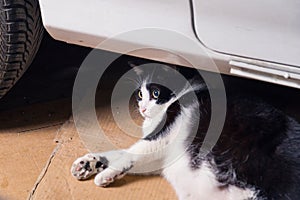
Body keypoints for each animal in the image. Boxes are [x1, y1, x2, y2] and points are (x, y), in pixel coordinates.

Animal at [71, 61, 300, 199]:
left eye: (155, 93)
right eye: (140, 94)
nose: (142, 109)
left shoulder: (160, 138)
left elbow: (131, 153)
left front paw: (104, 174)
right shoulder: (160, 157)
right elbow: (120, 154)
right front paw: (87, 163)